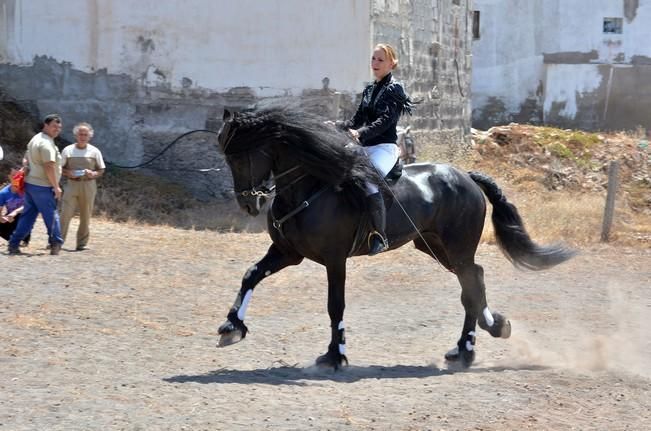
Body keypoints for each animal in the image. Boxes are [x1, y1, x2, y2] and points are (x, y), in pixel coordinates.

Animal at [215, 106, 576, 370]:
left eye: (240, 156)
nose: (249, 204)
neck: (311, 188)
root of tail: (466, 177)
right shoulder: (287, 252)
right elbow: (251, 275)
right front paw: (231, 328)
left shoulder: (335, 260)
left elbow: (335, 305)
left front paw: (335, 356)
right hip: (437, 248)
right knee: (474, 282)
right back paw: (482, 335)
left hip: (457, 249)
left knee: (472, 284)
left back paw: (468, 349)